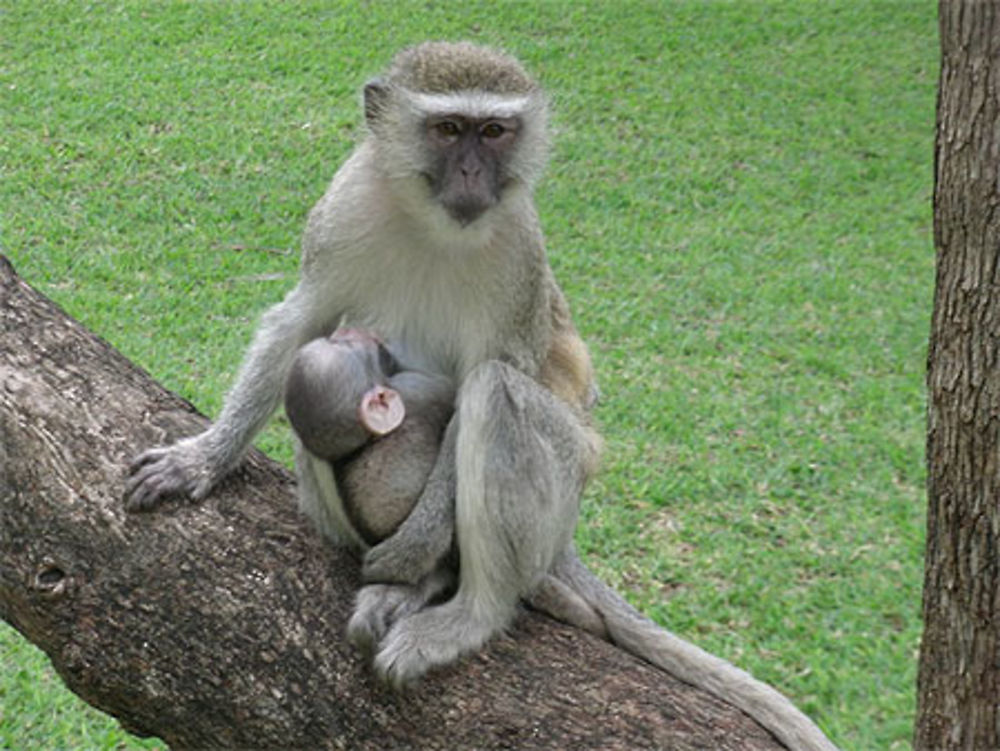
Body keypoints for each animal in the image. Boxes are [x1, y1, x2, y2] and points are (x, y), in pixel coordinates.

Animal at [129, 42, 840, 751]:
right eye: (448, 130)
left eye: (495, 132)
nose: (473, 173)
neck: (433, 227)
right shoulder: (345, 203)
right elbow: (299, 324)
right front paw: (204, 459)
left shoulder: (519, 248)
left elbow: (486, 380)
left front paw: (416, 551)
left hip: (565, 482)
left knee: (498, 395)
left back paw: (465, 610)